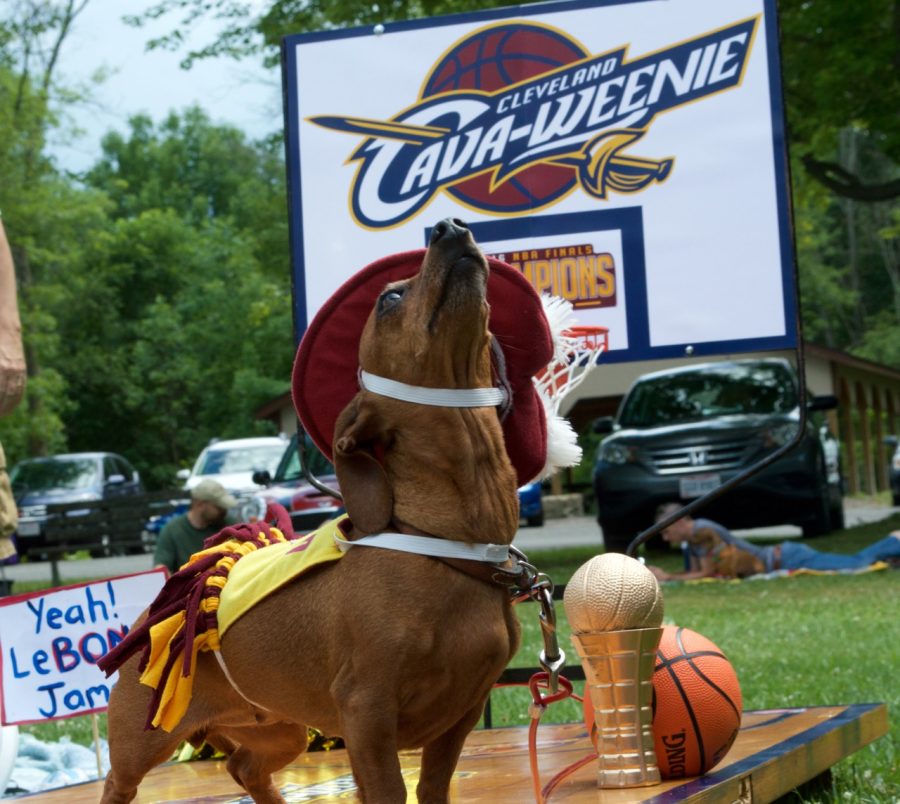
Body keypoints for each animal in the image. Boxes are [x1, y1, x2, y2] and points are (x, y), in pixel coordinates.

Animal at [99, 218, 536, 804]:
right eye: (389, 298)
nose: (449, 227)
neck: (443, 545)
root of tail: (160, 603)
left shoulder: (459, 717)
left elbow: (432, 788)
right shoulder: (367, 712)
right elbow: (387, 792)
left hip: (279, 731)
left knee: (244, 767)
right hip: (140, 746)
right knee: (121, 784)